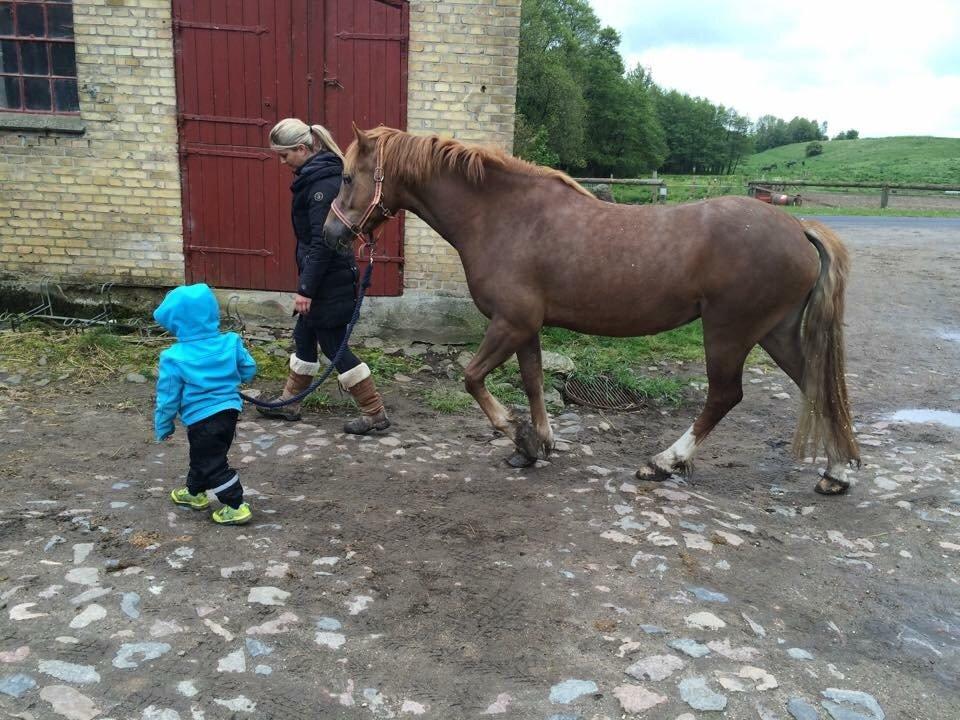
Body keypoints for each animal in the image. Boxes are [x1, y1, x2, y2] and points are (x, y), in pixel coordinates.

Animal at [324, 125, 864, 496]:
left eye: (347, 176)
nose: (331, 236)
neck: (504, 217)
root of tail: (797, 227)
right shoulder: (527, 328)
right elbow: (534, 381)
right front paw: (537, 446)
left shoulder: (510, 323)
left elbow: (473, 379)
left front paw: (519, 438)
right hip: (774, 332)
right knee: (816, 385)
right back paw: (835, 473)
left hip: (729, 332)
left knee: (724, 396)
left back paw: (663, 462)